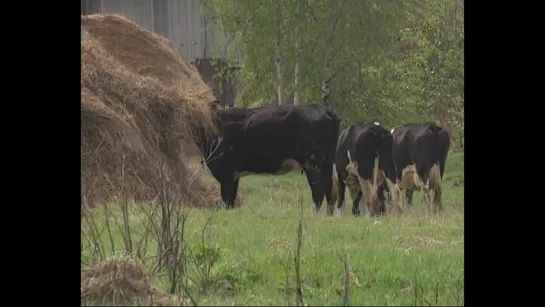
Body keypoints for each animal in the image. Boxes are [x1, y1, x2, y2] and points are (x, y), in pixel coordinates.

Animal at [196, 102, 340, 215]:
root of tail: (323, 109)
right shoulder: (234, 176)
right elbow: (231, 201)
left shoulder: (225, 173)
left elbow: (225, 200)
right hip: (327, 162)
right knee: (330, 189)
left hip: (312, 162)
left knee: (319, 191)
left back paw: (314, 214)